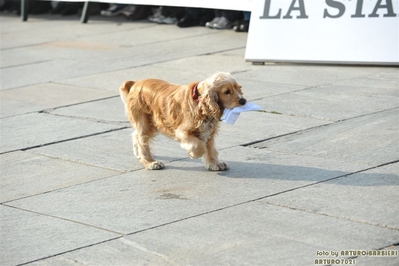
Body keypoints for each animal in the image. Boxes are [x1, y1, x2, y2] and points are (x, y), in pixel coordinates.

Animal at [119, 72, 247, 170]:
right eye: (227, 92)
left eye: (238, 88)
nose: (243, 101)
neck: (198, 101)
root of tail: (135, 83)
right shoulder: (182, 132)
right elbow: (200, 146)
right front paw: (193, 154)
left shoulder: (209, 132)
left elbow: (210, 148)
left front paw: (215, 164)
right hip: (144, 122)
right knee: (142, 140)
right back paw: (150, 162)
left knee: (135, 135)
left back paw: (138, 154)